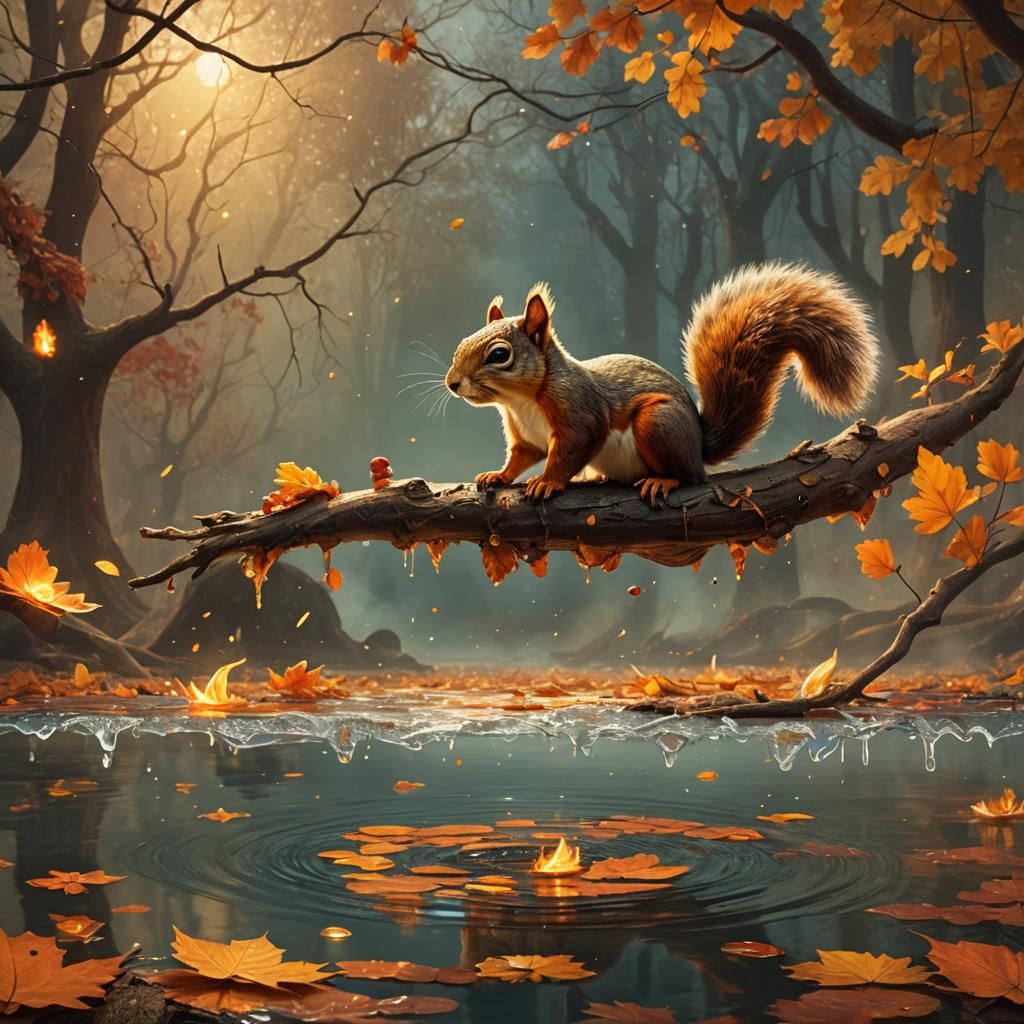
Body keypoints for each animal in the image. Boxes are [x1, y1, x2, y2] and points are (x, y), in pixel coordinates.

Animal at [444, 262, 878, 502]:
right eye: (461, 343)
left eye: (499, 355)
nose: (452, 383)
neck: (521, 401)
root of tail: (698, 447)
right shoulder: (525, 436)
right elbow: (521, 456)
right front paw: (497, 476)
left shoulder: (579, 412)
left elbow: (571, 450)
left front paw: (548, 483)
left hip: (658, 423)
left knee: (690, 477)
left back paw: (663, 480)